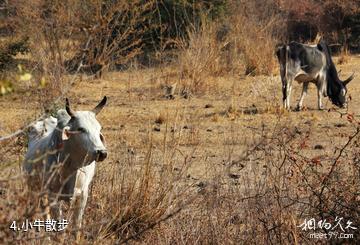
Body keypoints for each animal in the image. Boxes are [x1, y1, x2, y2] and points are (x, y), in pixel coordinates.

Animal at [23, 95, 107, 228]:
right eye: (81, 129)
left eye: (99, 128)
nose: (102, 153)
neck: (71, 165)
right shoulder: (54, 197)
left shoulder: (83, 195)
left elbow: (77, 224)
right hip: (33, 186)